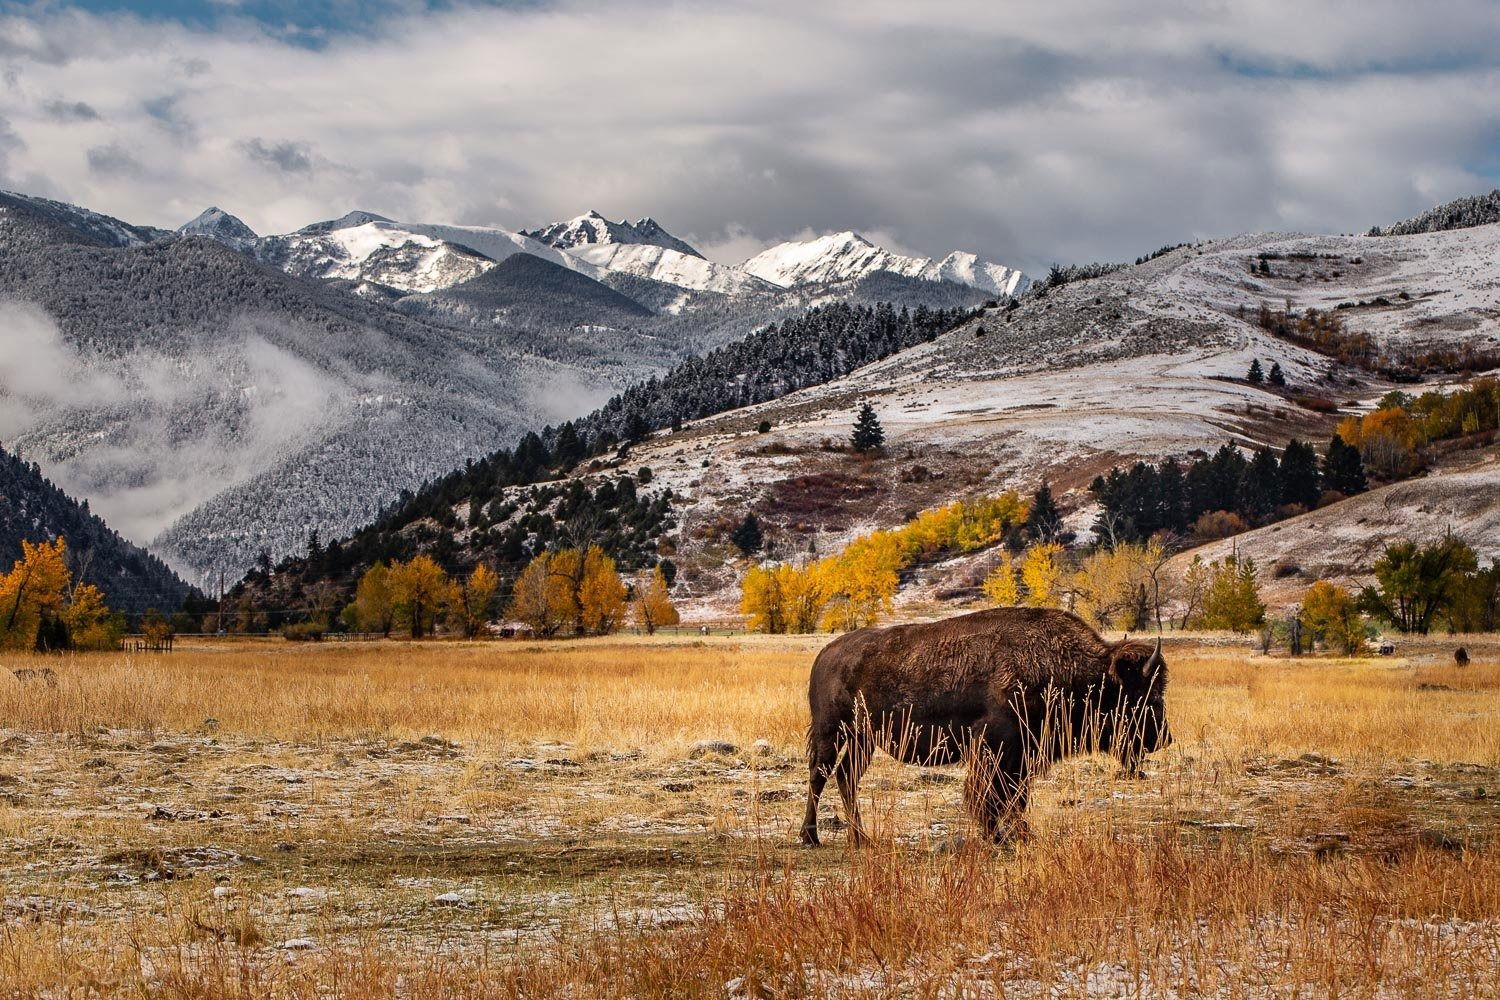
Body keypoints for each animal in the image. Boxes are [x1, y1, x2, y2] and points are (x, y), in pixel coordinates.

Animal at [804, 611, 1176, 845]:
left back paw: (860, 838)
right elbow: (993, 793)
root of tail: (826, 653)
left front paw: (1017, 834)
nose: (1164, 738)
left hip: (862, 739)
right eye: (1142, 692)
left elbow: (1014, 795)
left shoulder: (1022, 754)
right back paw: (811, 837)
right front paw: (999, 835)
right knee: (820, 776)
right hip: (832, 731)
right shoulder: (998, 745)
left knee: (846, 777)